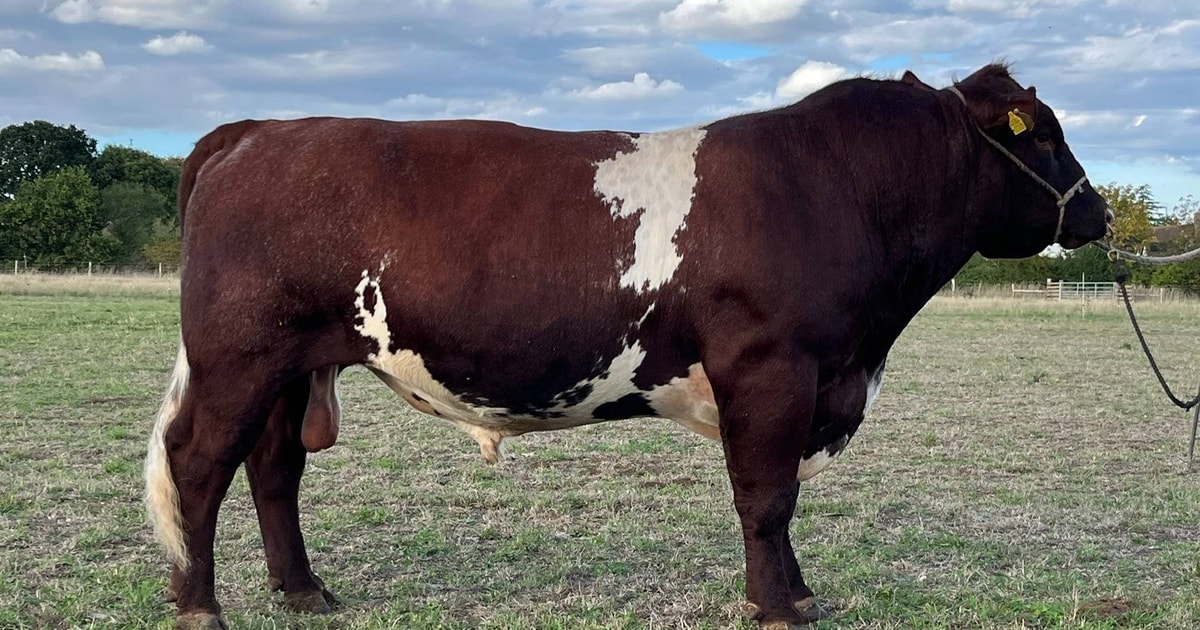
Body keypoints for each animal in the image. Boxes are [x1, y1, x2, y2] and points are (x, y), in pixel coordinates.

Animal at [144, 63, 1111, 629]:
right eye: (1044, 132)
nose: (1098, 213)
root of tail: (257, 130)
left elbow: (781, 498)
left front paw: (799, 593)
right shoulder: (772, 369)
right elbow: (768, 498)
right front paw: (777, 607)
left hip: (292, 365)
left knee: (273, 468)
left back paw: (305, 590)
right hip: (239, 357)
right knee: (197, 465)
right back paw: (200, 607)